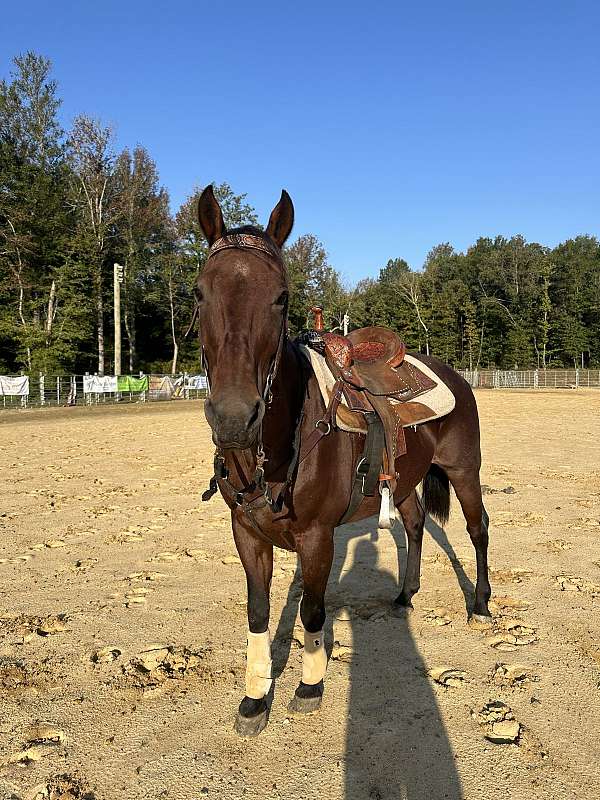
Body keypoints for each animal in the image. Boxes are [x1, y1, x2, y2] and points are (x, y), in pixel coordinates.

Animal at [195, 184, 490, 736]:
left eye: (282, 296)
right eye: (200, 293)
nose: (233, 418)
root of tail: (452, 375)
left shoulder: (317, 536)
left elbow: (312, 609)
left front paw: (309, 686)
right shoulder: (245, 532)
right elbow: (258, 611)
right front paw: (254, 699)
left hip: (464, 470)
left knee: (478, 527)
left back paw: (480, 605)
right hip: (405, 480)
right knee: (414, 524)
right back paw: (405, 594)